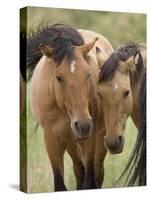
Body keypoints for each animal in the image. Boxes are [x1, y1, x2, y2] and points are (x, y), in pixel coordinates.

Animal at [27, 23, 113, 191]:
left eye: (88, 75)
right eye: (58, 77)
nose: (83, 125)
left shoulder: (89, 138)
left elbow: (90, 182)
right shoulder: (52, 140)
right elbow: (60, 184)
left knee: (97, 172)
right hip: (71, 142)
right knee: (79, 170)